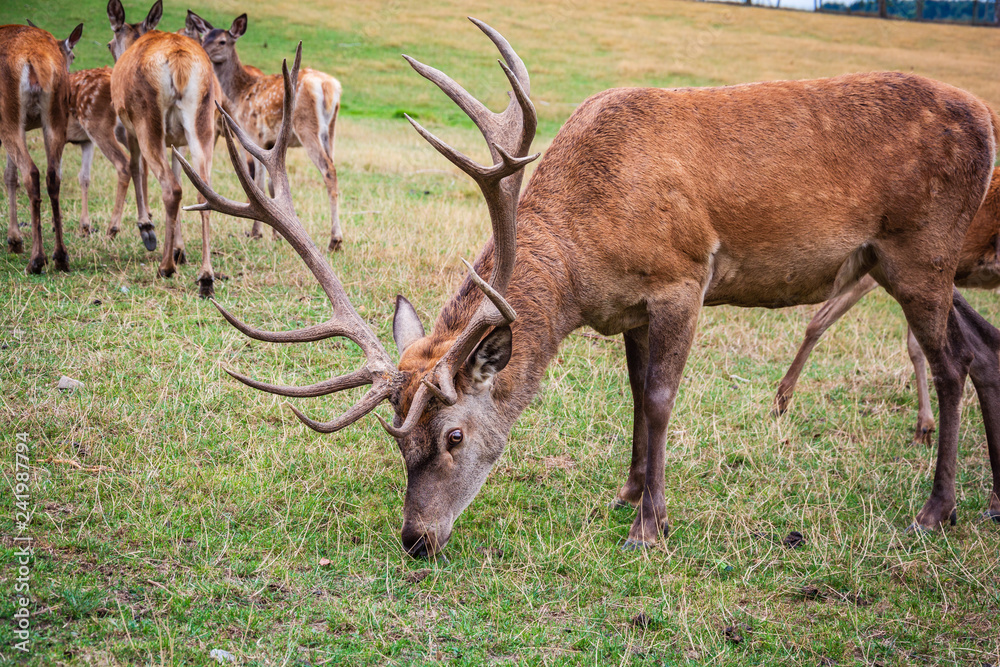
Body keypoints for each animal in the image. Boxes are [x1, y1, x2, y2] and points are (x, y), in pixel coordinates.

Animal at [1, 22, 83, 274]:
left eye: (73, 55)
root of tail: (34, 58)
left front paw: (14, 239)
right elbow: (10, 176)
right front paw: (14, 240)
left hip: (7, 115)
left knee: (31, 172)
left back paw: (37, 260)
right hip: (57, 114)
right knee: (53, 175)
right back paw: (61, 257)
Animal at [107, 0, 217, 297]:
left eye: (109, 44)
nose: (113, 51)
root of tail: (179, 61)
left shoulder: (129, 128)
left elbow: (136, 169)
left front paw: (146, 228)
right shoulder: (177, 141)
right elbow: (181, 175)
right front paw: (180, 248)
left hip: (147, 120)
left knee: (171, 187)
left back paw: (166, 266)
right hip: (203, 121)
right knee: (204, 189)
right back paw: (206, 276)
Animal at [186, 11, 344, 251]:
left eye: (222, 41)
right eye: (204, 37)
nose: (202, 50)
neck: (238, 95)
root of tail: (330, 87)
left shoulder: (253, 134)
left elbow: (257, 181)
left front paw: (256, 233)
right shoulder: (269, 142)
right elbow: (271, 185)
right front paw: (275, 235)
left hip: (307, 126)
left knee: (328, 170)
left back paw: (335, 240)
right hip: (331, 130)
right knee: (333, 168)